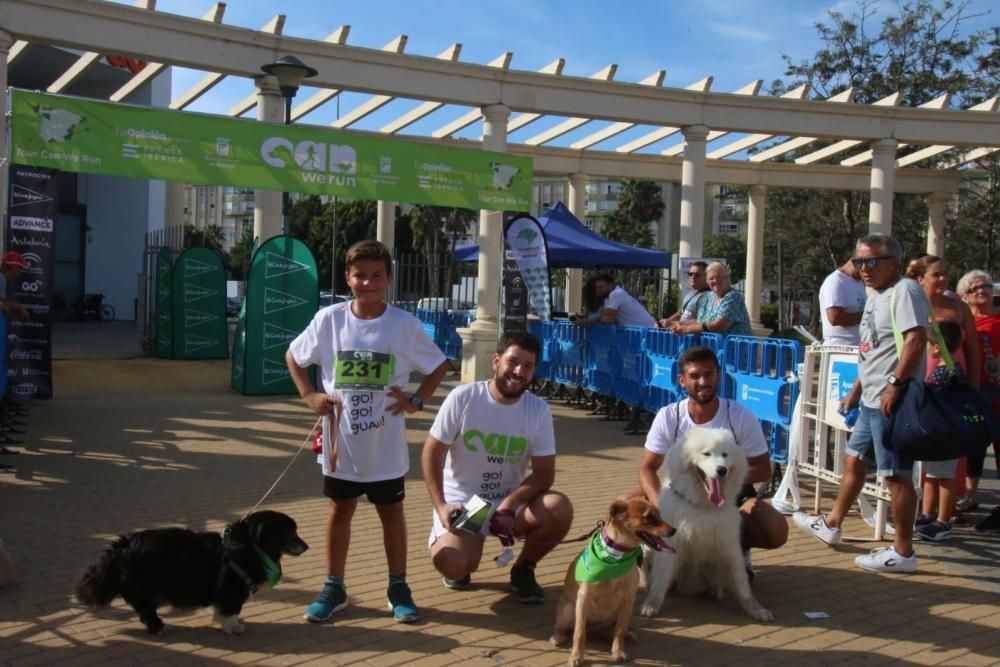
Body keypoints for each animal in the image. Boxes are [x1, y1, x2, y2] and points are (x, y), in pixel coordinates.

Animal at [76, 512, 308, 636]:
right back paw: (158, 627)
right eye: (291, 532)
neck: (252, 545)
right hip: (146, 589)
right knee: (146, 610)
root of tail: (123, 545)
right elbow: (231, 612)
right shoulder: (233, 592)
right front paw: (233, 628)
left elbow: (222, 610)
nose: (307, 547)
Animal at [552, 498, 676, 664]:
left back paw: (624, 635)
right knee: (564, 627)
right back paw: (557, 637)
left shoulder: (628, 599)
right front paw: (576, 656)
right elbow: (578, 633)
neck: (616, 556)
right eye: (649, 517)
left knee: (609, 631)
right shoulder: (584, 598)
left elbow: (620, 631)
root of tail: (593, 629)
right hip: (569, 609)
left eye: (659, 515)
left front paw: (618, 651)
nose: (674, 530)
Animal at [640, 426, 772, 624]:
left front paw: (756, 609)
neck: (703, 506)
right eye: (706, 454)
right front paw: (651, 605)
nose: (722, 470)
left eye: (725, 455)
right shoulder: (671, 546)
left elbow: (742, 584)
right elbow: (660, 580)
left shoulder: (730, 546)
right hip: (649, 548)